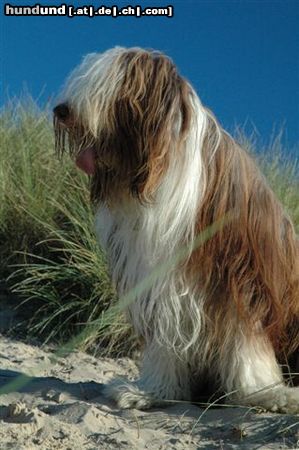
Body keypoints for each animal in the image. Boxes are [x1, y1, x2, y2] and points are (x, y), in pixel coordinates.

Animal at [54, 47, 299, 414]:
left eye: (103, 85)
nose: (62, 110)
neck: (154, 169)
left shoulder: (241, 276)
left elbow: (246, 339)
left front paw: (263, 394)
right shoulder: (161, 277)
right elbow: (166, 335)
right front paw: (153, 392)